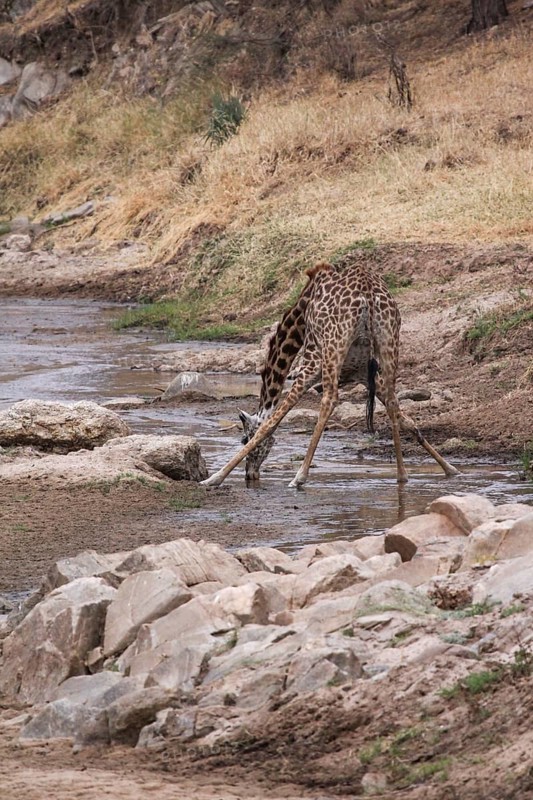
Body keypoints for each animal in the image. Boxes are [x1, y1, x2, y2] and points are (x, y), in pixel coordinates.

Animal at [201, 261, 459, 487]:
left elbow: (272, 422)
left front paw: (214, 477)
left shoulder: (311, 362)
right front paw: (450, 469)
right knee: (394, 400)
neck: (301, 314)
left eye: (244, 438)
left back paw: (299, 476)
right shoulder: (362, 374)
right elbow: (406, 419)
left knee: (329, 399)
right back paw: (402, 475)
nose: (250, 474)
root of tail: (368, 292)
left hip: (333, 347)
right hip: (389, 341)